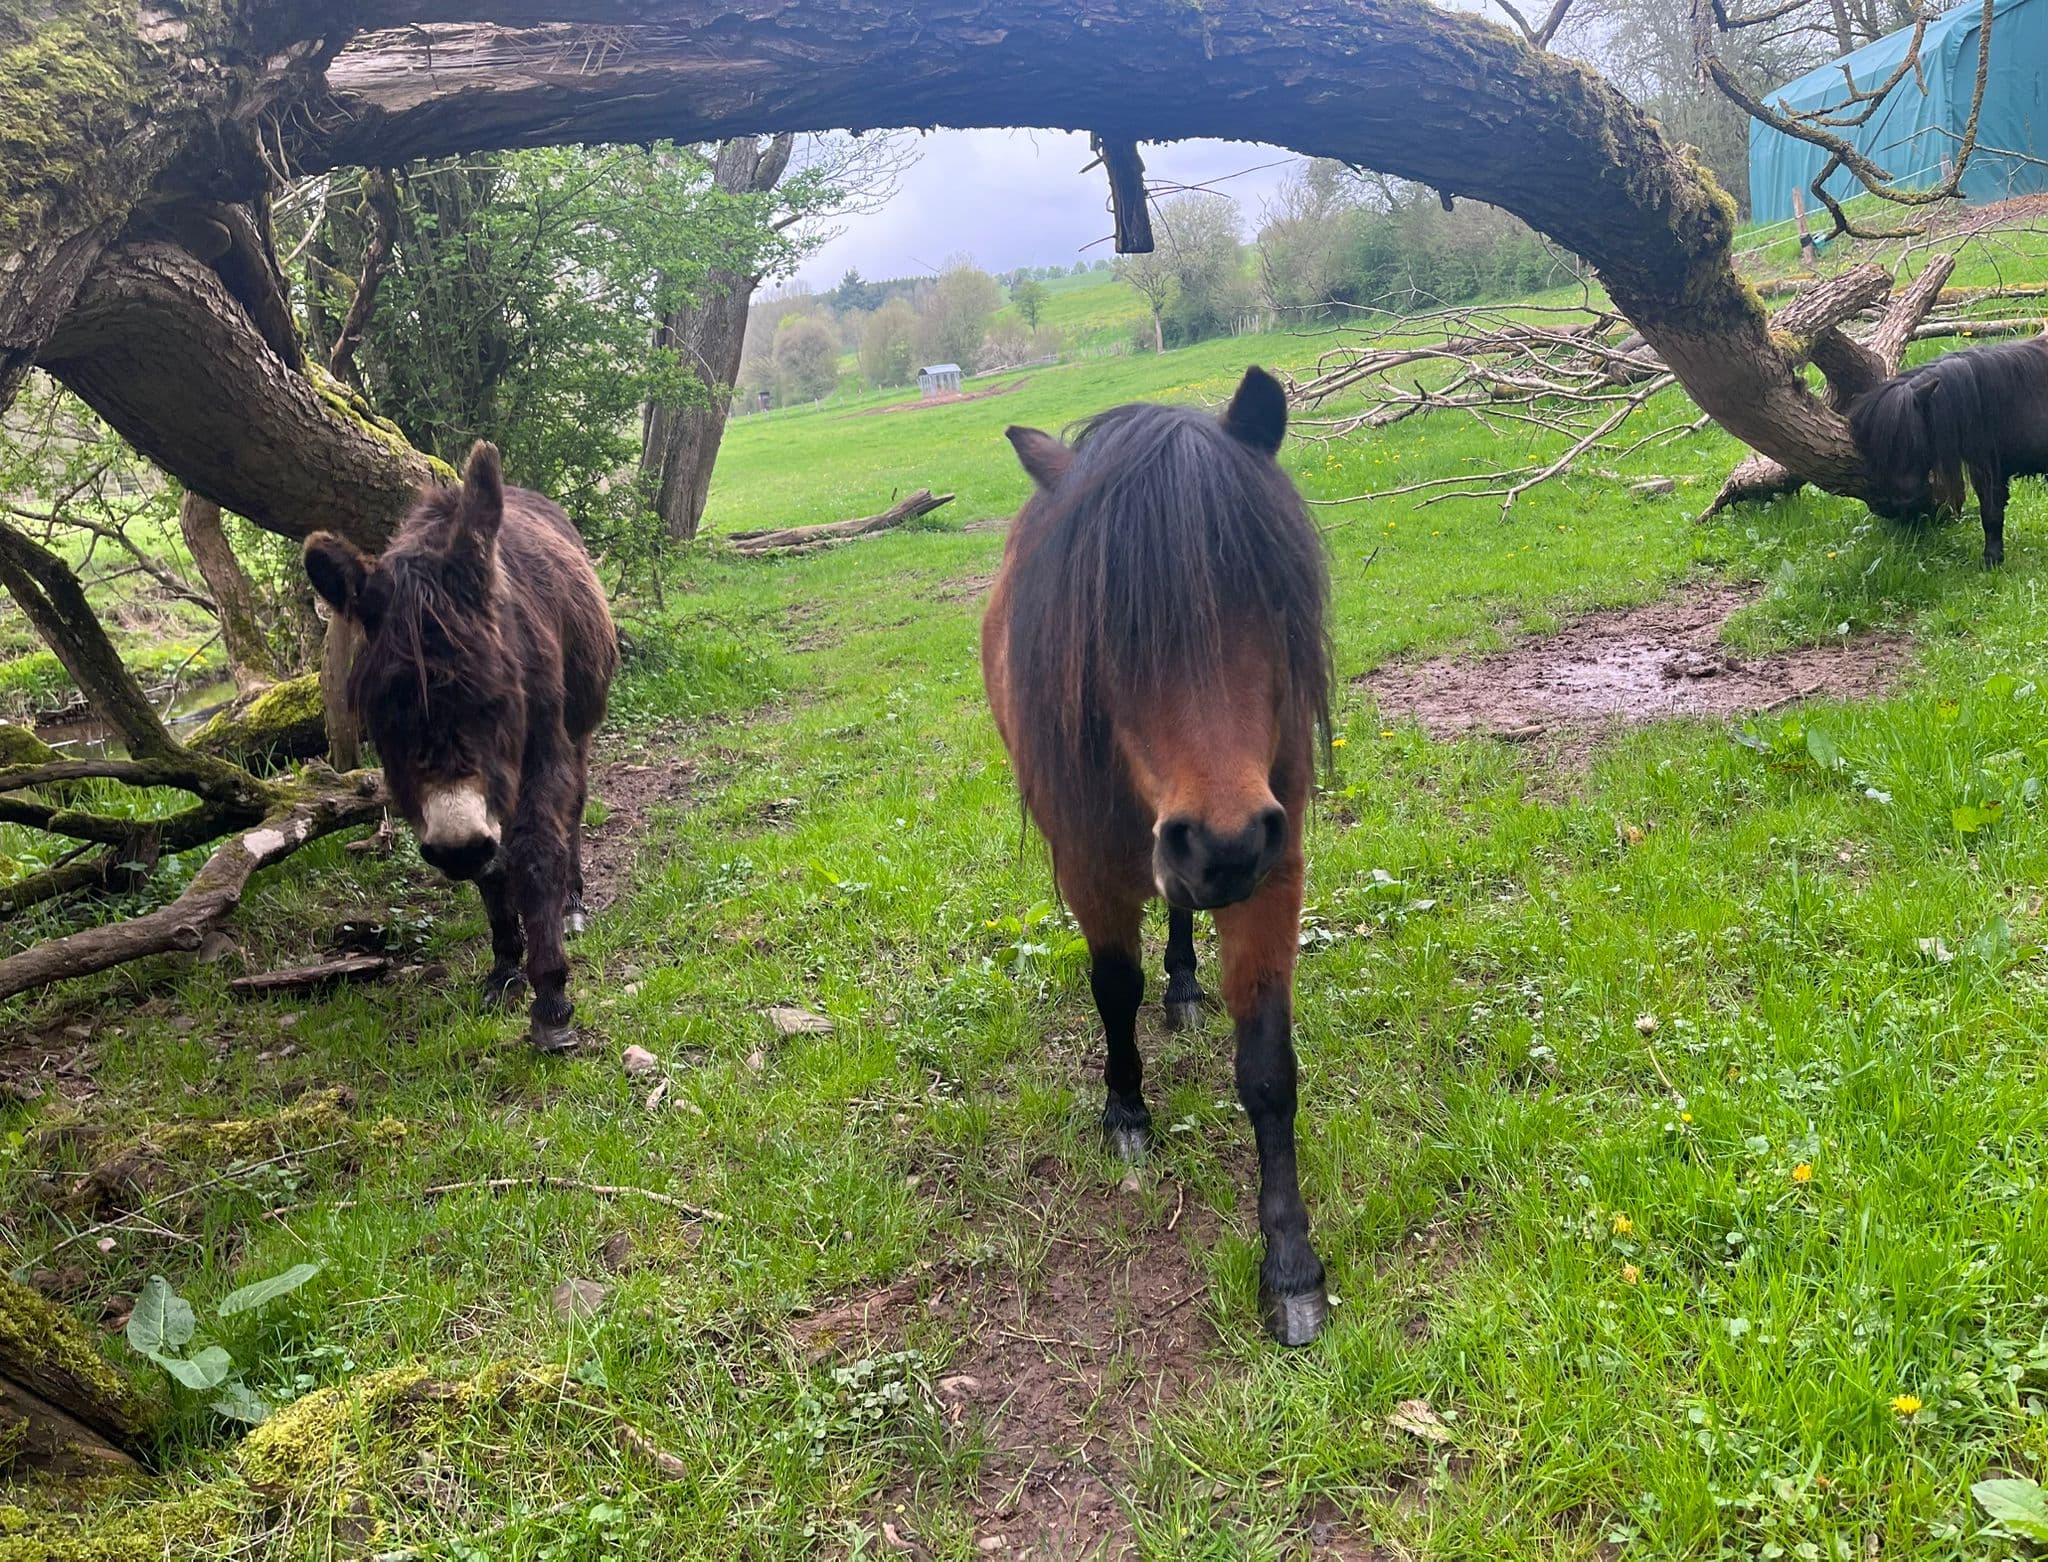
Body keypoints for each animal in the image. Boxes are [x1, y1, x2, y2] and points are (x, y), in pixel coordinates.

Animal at [303, 442, 617, 1053]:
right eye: (381, 719)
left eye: (498, 698)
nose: (458, 846)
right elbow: (492, 872)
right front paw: (506, 967)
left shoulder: (541, 751)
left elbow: (536, 850)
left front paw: (551, 998)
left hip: (579, 733)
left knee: (573, 813)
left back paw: (571, 901)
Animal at [981, 366, 1334, 1346]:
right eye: (1107, 629)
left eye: (1267, 596)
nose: (1222, 840)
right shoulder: (1087, 868)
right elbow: (1113, 988)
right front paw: (1126, 1111)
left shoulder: (1275, 868)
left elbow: (1268, 1068)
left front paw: (1290, 1264)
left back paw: (1183, 983)